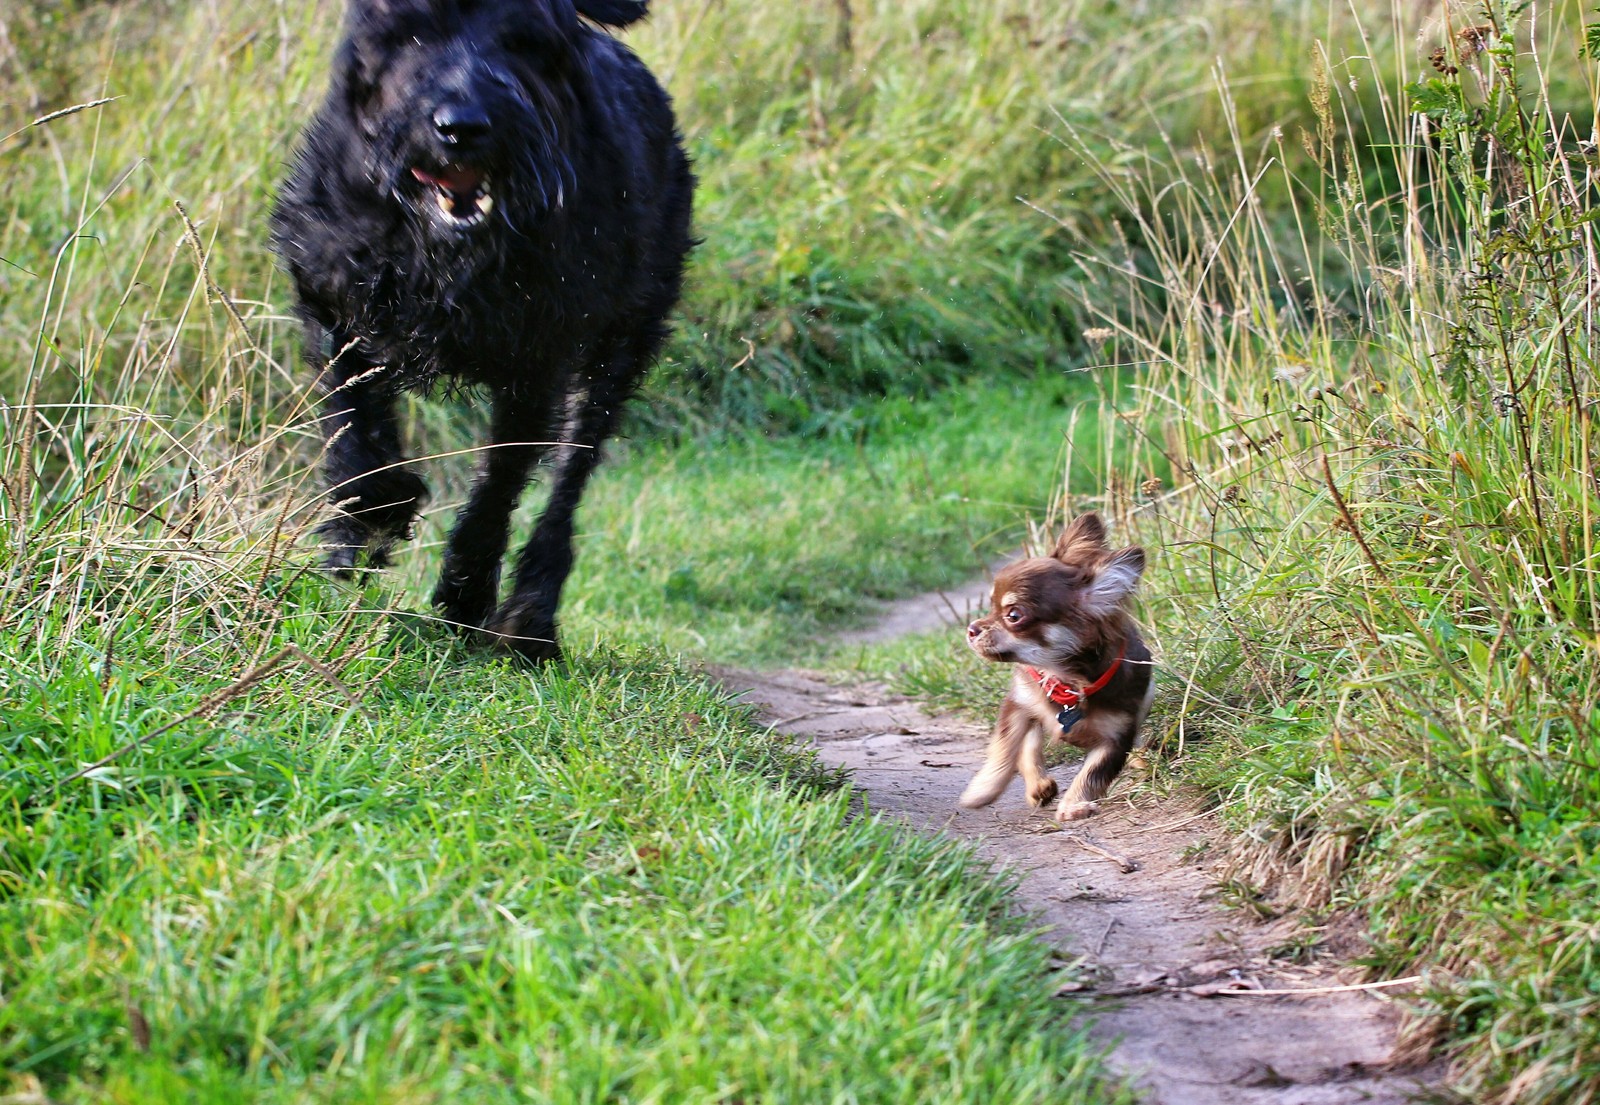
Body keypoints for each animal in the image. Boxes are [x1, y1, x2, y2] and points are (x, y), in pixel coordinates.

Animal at [270, 0, 694, 662]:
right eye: (411, 30)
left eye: (523, 39)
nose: (461, 126)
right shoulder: (332, 295)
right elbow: (353, 424)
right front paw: (366, 521)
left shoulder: (538, 356)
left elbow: (502, 477)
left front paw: (466, 590)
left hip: (623, 341)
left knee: (571, 472)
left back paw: (531, 616)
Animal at [953, 514, 1158, 815]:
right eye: (990, 607)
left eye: (1013, 615)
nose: (971, 629)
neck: (1067, 680)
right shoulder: (1018, 705)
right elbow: (1004, 750)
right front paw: (982, 790)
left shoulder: (1117, 736)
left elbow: (1094, 772)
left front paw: (1074, 805)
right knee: (1029, 746)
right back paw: (1039, 785)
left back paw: (1141, 761)